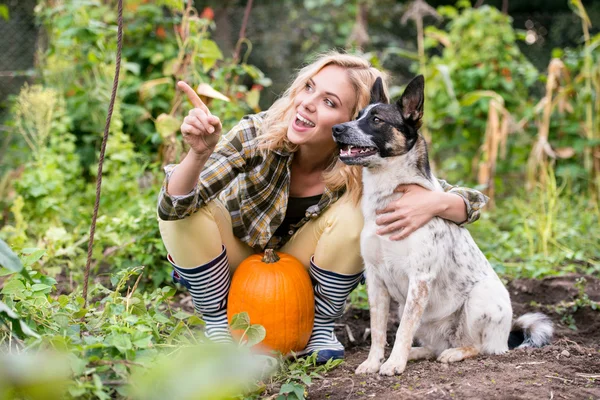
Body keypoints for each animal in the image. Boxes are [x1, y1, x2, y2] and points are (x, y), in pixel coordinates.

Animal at [332, 76, 552, 376]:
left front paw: (394, 364)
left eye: (377, 120)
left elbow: (402, 330)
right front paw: (374, 362)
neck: (388, 194)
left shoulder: (419, 279)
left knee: (476, 347)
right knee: (431, 346)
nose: (336, 128)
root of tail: (506, 336)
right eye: (357, 116)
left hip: (477, 301)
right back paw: (417, 353)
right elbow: (378, 330)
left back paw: (453, 353)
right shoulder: (376, 280)